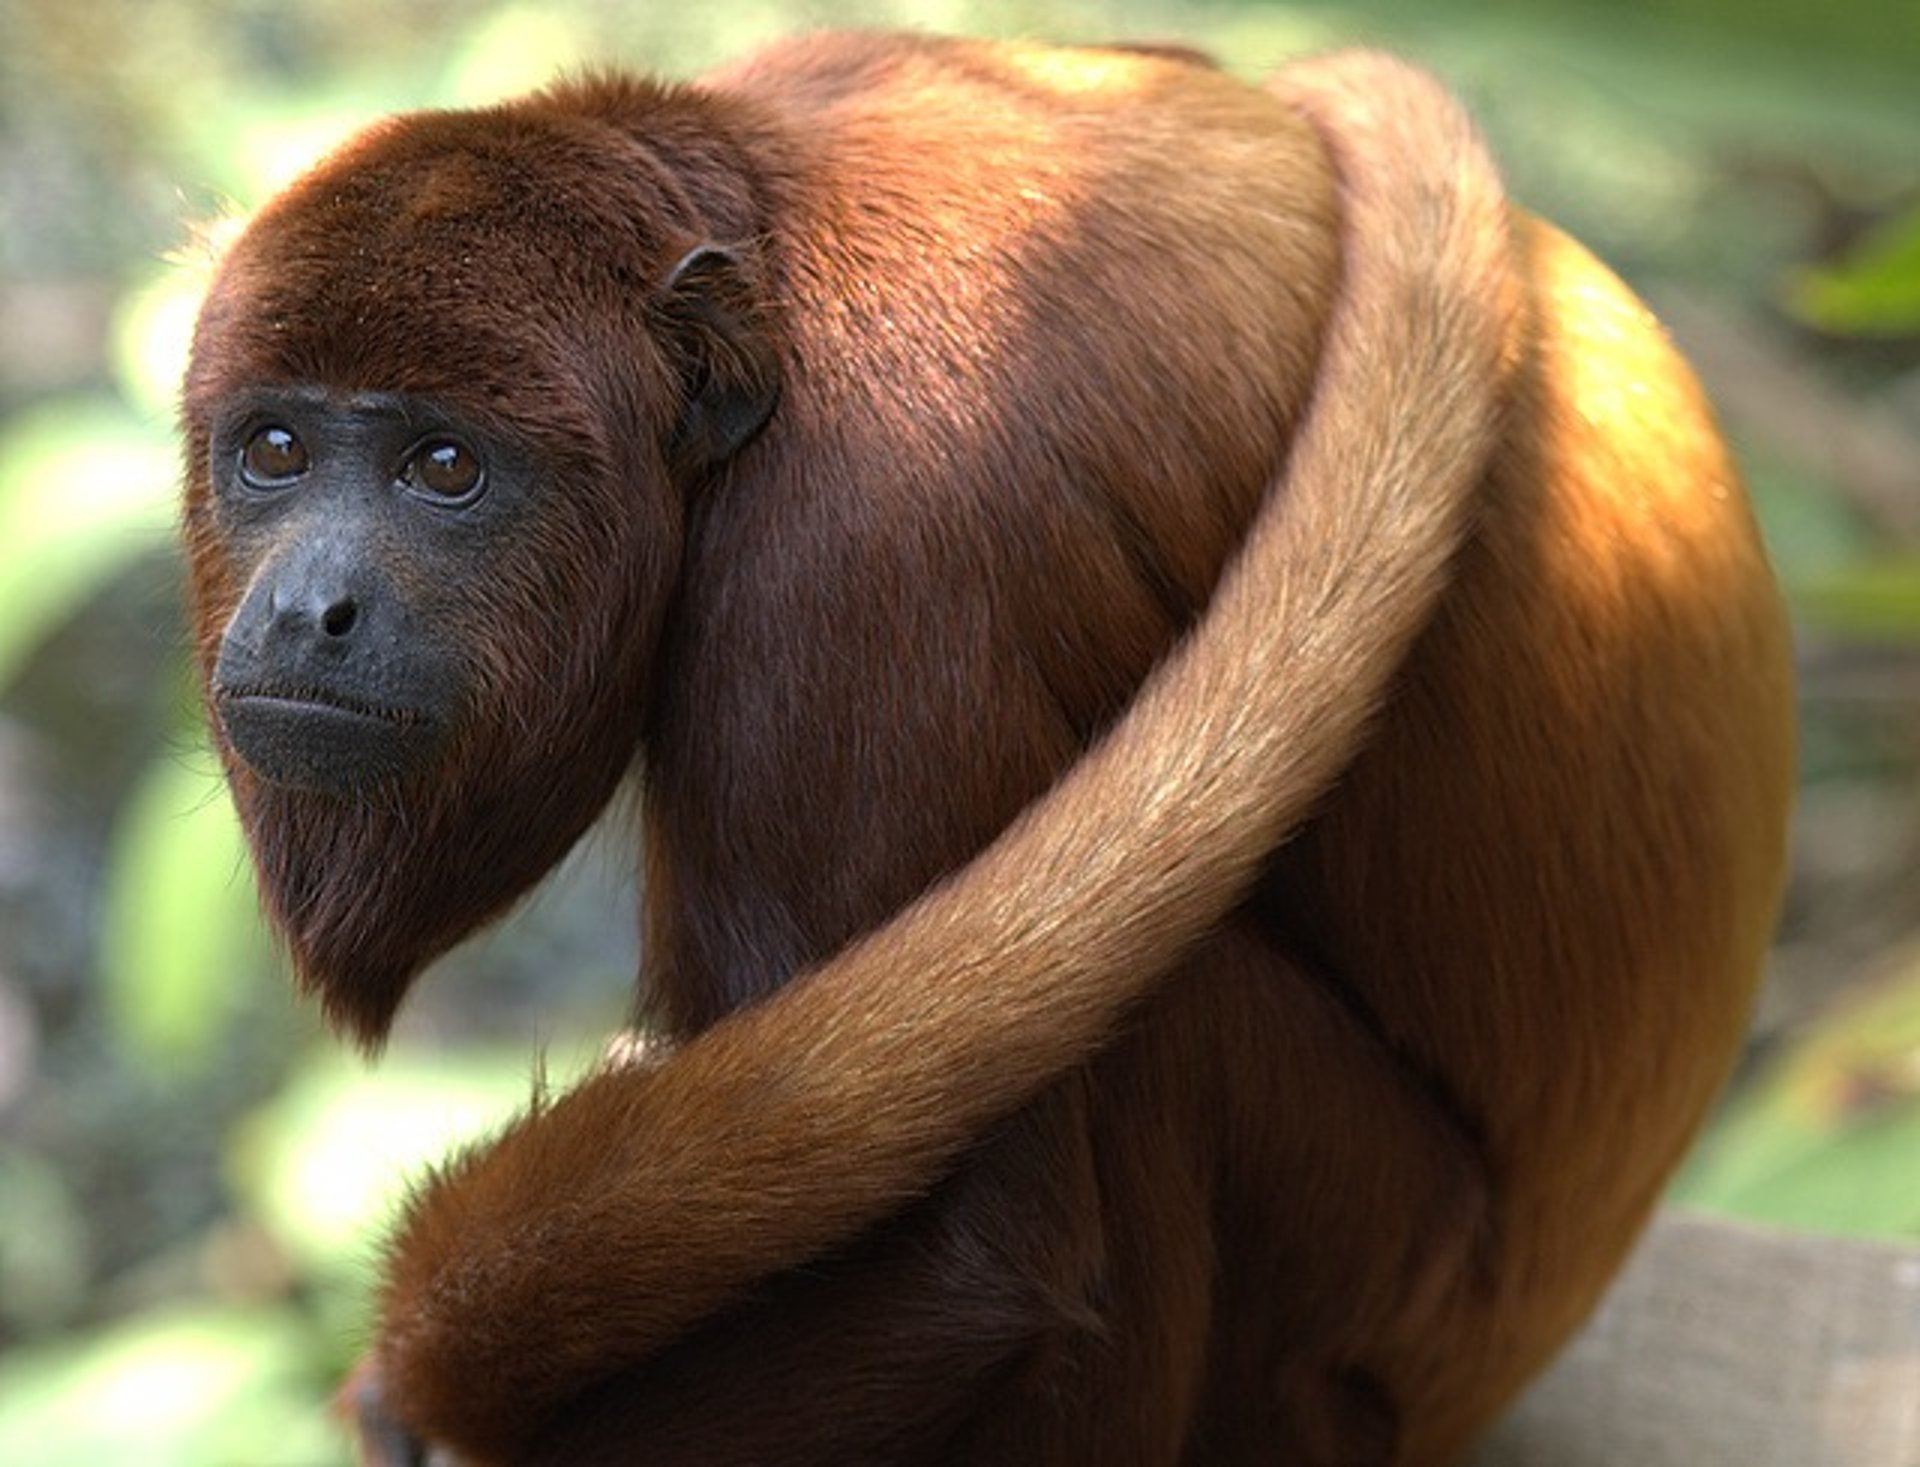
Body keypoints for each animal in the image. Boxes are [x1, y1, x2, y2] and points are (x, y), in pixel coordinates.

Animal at [180, 31, 1797, 1467]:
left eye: (445, 467)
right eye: (275, 452)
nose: (308, 609)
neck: (763, 255)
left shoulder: (873, 541)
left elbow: (962, 1271)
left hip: (1377, 1303)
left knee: (1153, 1040)